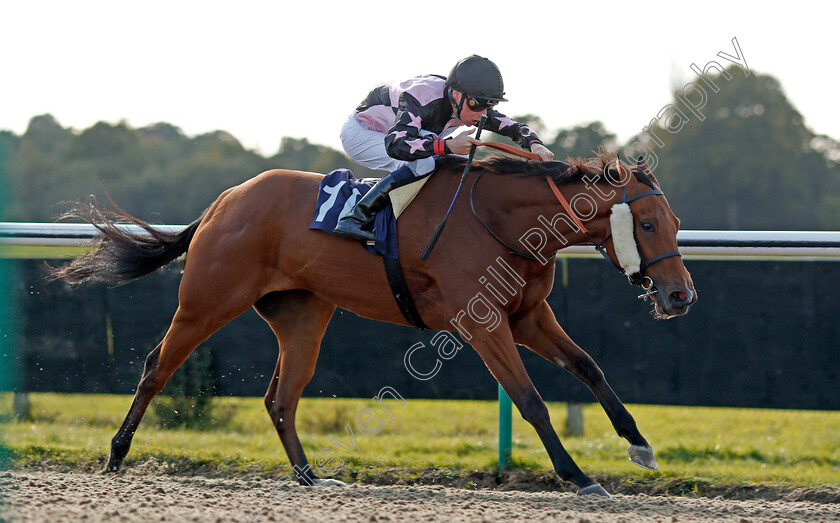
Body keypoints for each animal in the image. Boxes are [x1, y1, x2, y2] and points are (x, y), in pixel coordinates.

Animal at [50, 152, 696, 500]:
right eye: (645, 223)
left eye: (672, 221)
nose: (680, 295)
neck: (500, 220)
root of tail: (222, 201)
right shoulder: (484, 321)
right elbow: (531, 400)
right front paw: (578, 475)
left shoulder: (528, 315)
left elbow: (588, 365)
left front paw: (639, 446)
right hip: (207, 300)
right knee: (156, 367)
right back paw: (115, 456)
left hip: (303, 317)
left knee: (280, 398)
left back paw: (311, 477)